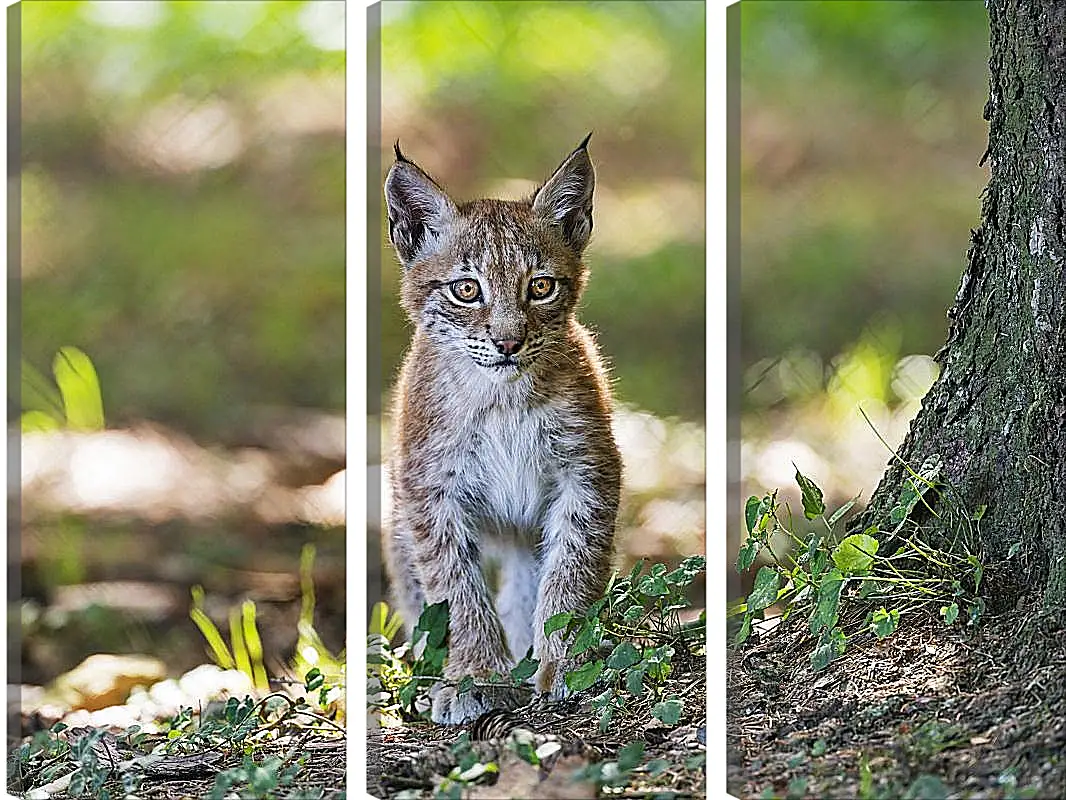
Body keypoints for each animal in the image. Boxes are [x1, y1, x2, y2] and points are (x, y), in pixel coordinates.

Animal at [383, 137, 622, 725]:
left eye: (540, 287)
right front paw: (476, 677)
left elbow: (571, 575)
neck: (502, 399)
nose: (509, 343)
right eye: (467, 290)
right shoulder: (430, 492)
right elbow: (455, 590)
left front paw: (566, 665)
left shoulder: (589, 471)